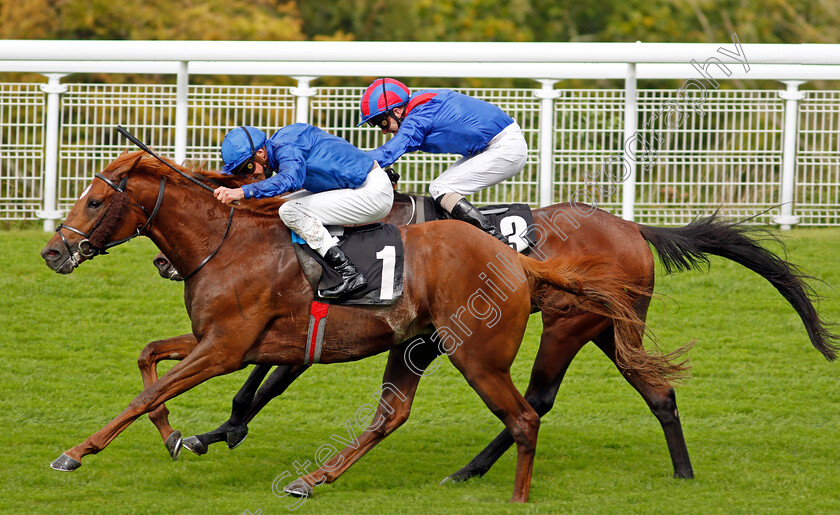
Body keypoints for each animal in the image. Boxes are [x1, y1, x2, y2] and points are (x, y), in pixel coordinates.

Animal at [39, 150, 672, 504]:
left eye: (93, 201)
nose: (52, 252)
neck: (227, 243)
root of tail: (517, 261)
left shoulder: (226, 348)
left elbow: (144, 396)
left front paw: (75, 452)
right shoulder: (223, 342)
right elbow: (149, 361)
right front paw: (175, 436)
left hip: (481, 353)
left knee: (524, 417)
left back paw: (511, 494)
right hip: (417, 344)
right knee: (393, 414)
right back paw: (312, 479)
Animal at [141, 187, 836, 486]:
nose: (164, 263)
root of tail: (635, 229)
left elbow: (265, 377)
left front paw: (215, 430)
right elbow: (264, 373)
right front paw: (214, 430)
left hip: (566, 325)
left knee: (539, 401)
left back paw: (471, 470)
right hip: (609, 330)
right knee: (655, 390)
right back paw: (684, 473)